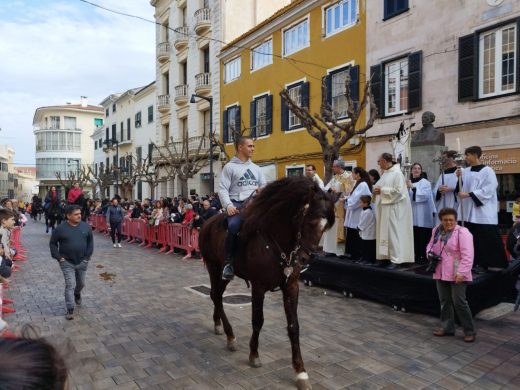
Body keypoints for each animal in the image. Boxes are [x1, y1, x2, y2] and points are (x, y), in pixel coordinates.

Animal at [199, 177, 334, 390]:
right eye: (310, 220)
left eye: (325, 226)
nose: (307, 258)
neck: (276, 240)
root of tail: (207, 224)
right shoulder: (258, 287)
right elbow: (258, 320)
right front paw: (254, 354)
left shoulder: (291, 287)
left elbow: (294, 326)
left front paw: (301, 372)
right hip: (215, 268)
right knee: (216, 296)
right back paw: (230, 336)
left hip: (222, 275)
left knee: (217, 295)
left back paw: (219, 325)